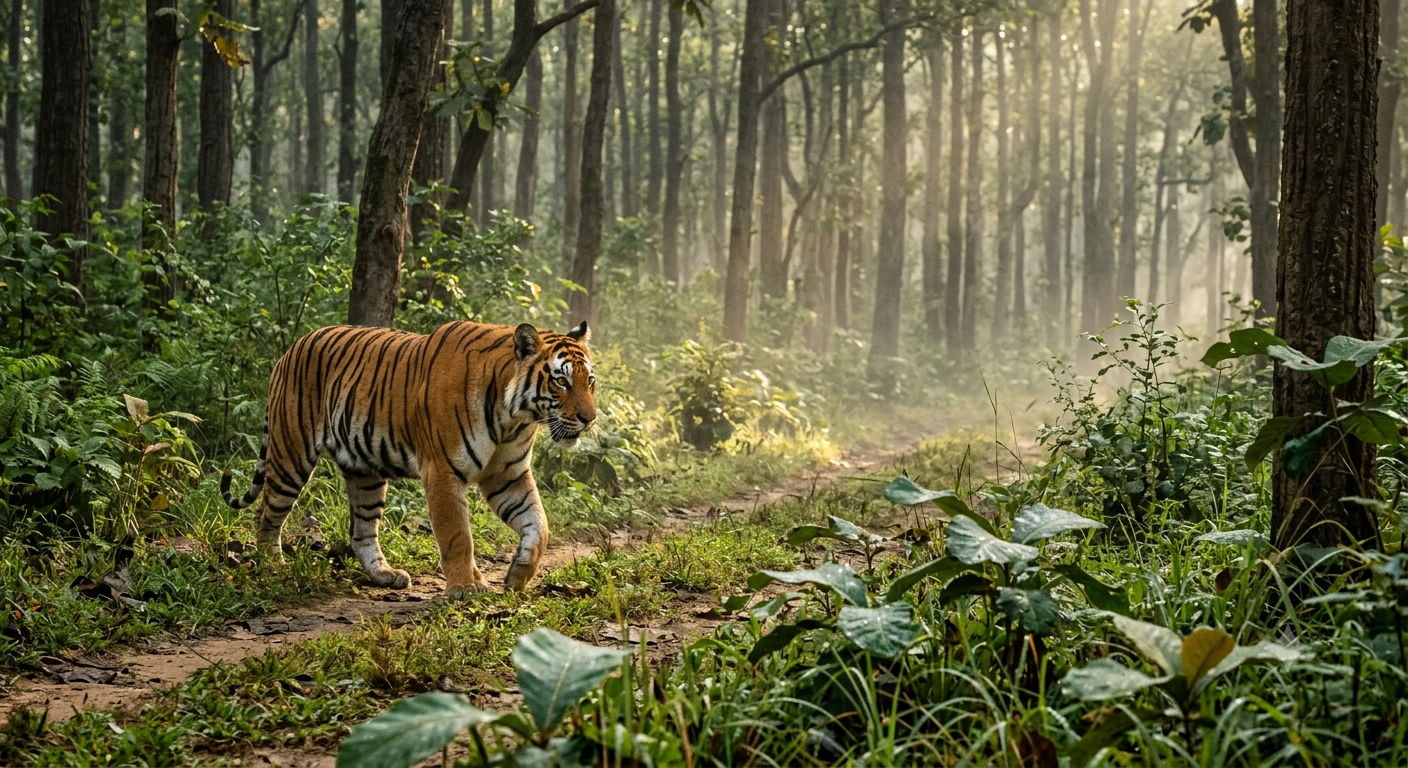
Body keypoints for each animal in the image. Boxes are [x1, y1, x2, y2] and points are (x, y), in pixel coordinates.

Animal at [220, 321, 597, 594]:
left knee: (362, 532)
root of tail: (292, 347)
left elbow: (539, 526)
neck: (514, 417)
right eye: (561, 381)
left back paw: (385, 575)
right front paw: (465, 587)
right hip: (291, 454)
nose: (589, 419)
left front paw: (518, 576)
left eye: (590, 381)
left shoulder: (507, 474)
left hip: (365, 472)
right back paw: (273, 566)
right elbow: (457, 535)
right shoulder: (442, 471)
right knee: (266, 513)